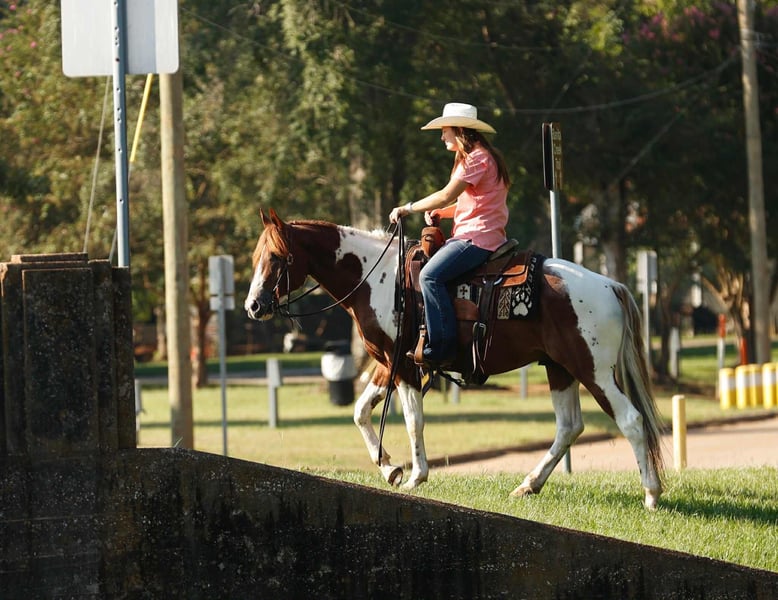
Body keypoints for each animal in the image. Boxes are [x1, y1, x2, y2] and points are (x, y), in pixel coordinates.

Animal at [244, 208, 665, 509]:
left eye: (278, 257)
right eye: (255, 257)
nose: (253, 306)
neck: (377, 278)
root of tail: (610, 285)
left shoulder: (405, 366)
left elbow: (413, 421)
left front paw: (416, 475)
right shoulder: (387, 362)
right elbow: (361, 412)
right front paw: (390, 468)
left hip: (594, 370)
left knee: (630, 420)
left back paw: (651, 494)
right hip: (560, 368)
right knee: (569, 426)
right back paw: (528, 485)